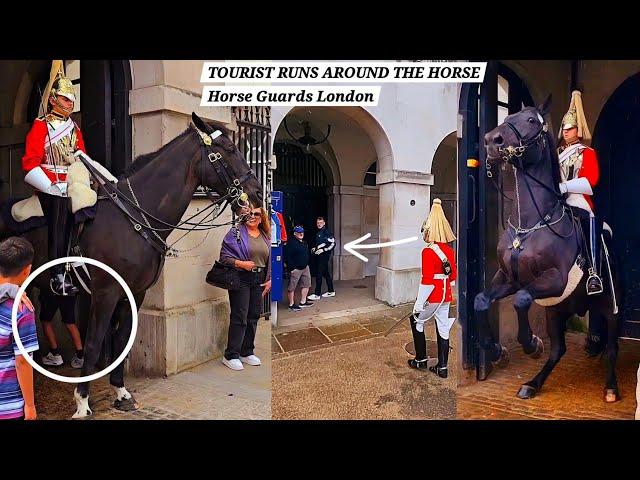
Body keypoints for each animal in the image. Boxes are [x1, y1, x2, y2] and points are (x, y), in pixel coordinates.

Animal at [0, 112, 264, 416]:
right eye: (230, 149)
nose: (257, 193)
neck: (134, 217)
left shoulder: (135, 293)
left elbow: (123, 340)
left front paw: (121, 392)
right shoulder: (105, 293)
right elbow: (94, 343)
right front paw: (82, 401)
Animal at [476, 99, 620, 404]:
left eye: (531, 120)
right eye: (511, 115)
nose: (491, 141)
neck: (529, 225)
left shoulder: (555, 279)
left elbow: (521, 300)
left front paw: (531, 344)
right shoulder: (508, 278)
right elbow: (481, 300)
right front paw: (497, 351)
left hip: (611, 307)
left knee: (612, 348)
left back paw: (611, 387)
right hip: (557, 310)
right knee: (558, 350)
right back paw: (533, 383)